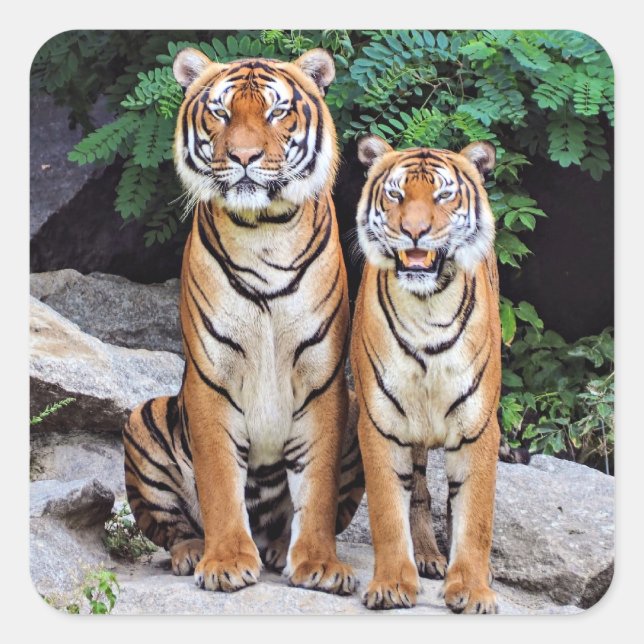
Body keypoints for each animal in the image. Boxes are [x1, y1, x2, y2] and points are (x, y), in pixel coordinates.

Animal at [123, 47, 364, 595]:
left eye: (277, 112)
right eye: (221, 112)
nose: (245, 157)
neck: (264, 230)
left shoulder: (322, 380)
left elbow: (316, 488)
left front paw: (319, 563)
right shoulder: (212, 377)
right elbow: (218, 481)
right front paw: (227, 561)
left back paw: (277, 549)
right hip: (143, 417)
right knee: (172, 528)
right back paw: (193, 552)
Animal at [350, 134, 502, 613]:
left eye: (443, 195)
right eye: (396, 195)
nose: (414, 231)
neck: (427, 307)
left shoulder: (478, 426)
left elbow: (474, 516)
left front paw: (472, 589)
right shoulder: (379, 423)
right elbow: (386, 510)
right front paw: (392, 583)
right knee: (418, 492)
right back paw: (428, 558)